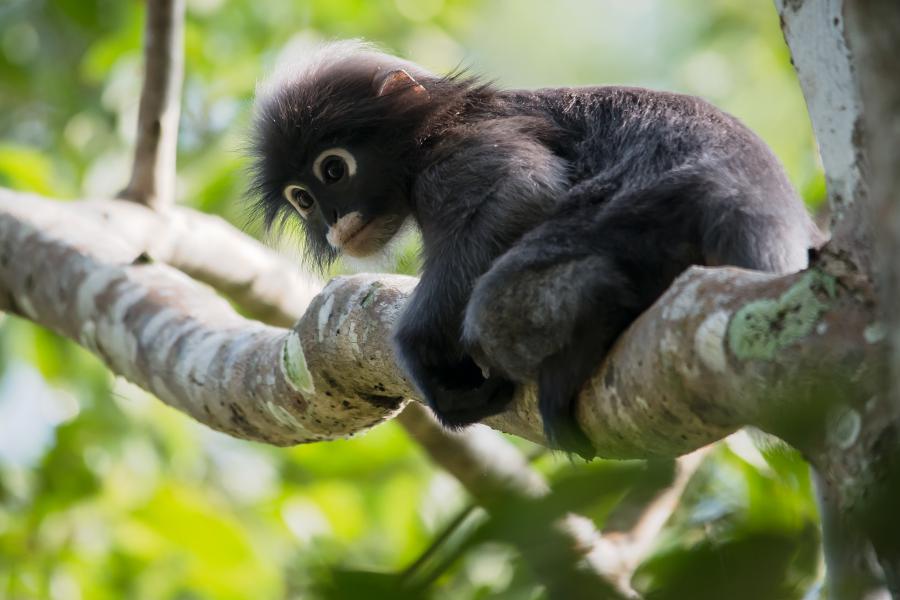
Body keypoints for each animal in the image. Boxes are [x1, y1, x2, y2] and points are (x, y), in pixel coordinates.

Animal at [247, 41, 824, 458]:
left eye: (333, 170)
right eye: (302, 199)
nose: (332, 222)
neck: (431, 134)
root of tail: (744, 192)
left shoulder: (461, 154)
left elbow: (522, 191)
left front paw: (418, 347)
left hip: (641, 210)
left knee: (494, 307)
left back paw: (593, 310)